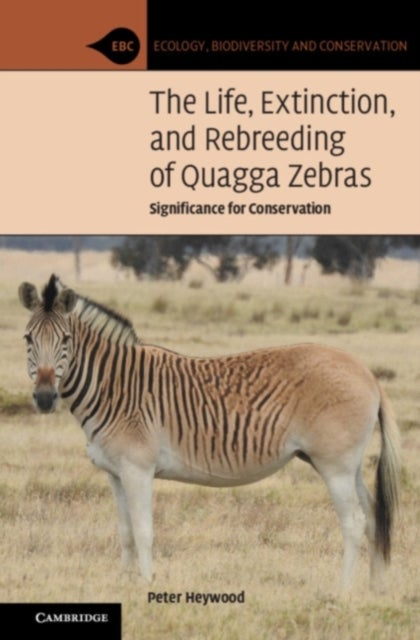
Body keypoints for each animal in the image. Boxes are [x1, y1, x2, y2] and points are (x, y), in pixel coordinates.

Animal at [18, 274, 400, 592]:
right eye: (28, 339)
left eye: (66, 340)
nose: (45, 398)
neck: (114, 388)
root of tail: (367, 373)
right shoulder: (115, 473)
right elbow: (125, 533)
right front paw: (123, 585)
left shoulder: (137, 469)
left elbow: (143, 531)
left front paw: (146, 584)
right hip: (347, 465)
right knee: (372, 517)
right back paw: (376, 589)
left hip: (335, 465)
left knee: (353, 522)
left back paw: (342, 592)